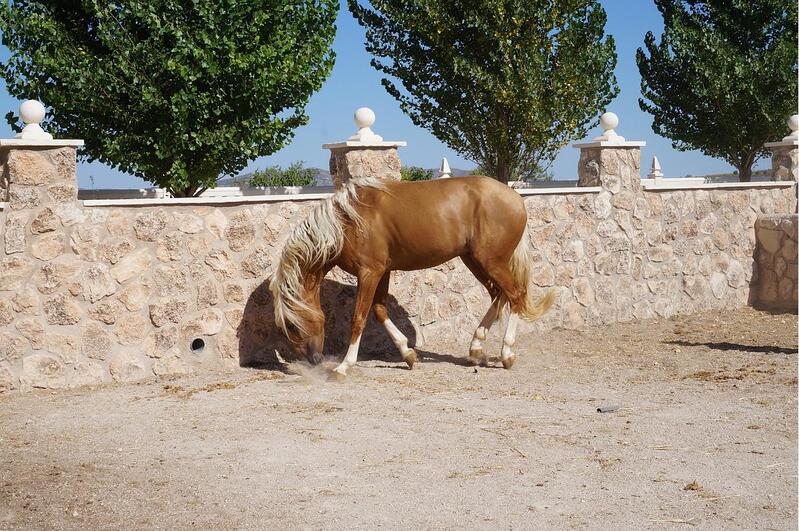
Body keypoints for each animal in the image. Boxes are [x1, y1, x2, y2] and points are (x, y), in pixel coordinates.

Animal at [272, 178, 552, 378]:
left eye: (292, 325)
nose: (312, 360)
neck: (348, 222)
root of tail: (514, 197)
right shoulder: (382, 271)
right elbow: (379, 311)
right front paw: (408, 354)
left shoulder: (369, 272)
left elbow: (359, 318)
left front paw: (343, 367)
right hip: (475, 261)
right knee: (499, 295)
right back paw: (476, 349)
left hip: (490, 261)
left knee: (515, 295)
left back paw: (507, 354)